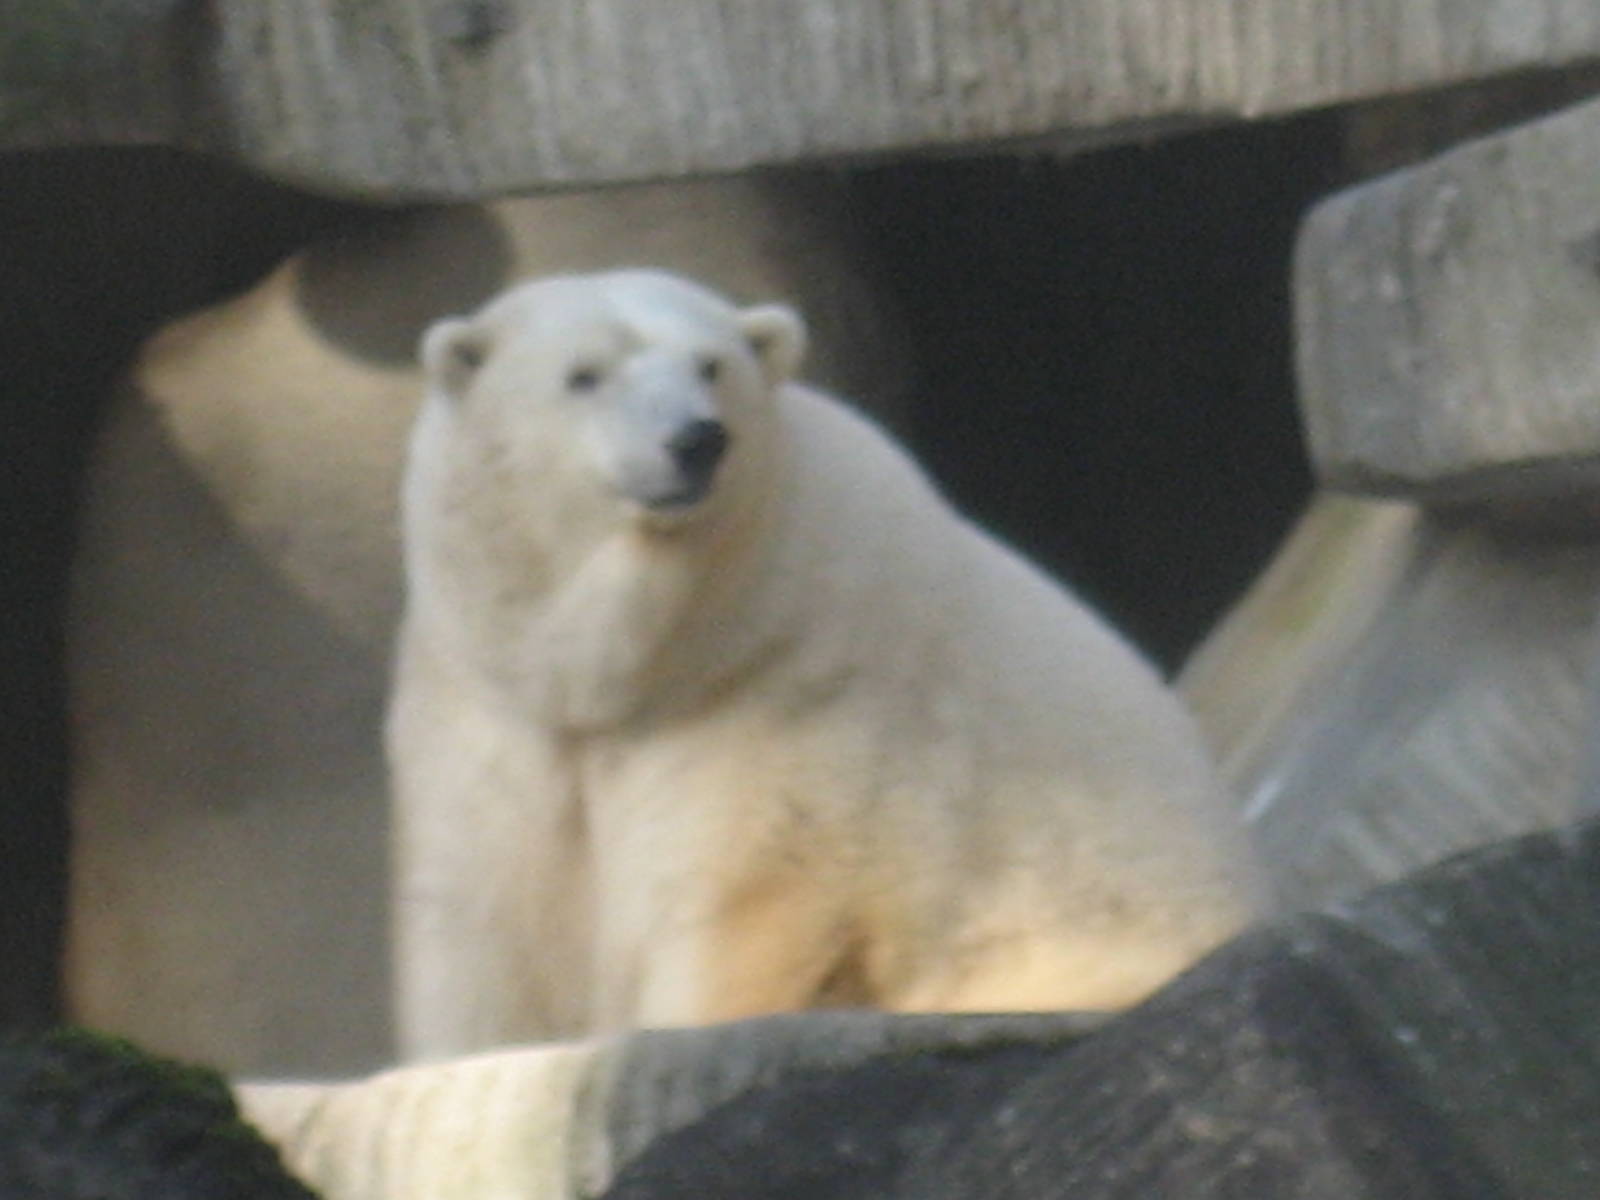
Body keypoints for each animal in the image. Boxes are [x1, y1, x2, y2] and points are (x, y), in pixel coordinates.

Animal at [389, 268, 1264, 1059]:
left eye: (712, 365)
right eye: (583, 375)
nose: (698, 439)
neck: (654, 663)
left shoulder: (794, 676)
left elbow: (749, 891)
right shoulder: (487, 711)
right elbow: (487, 914)